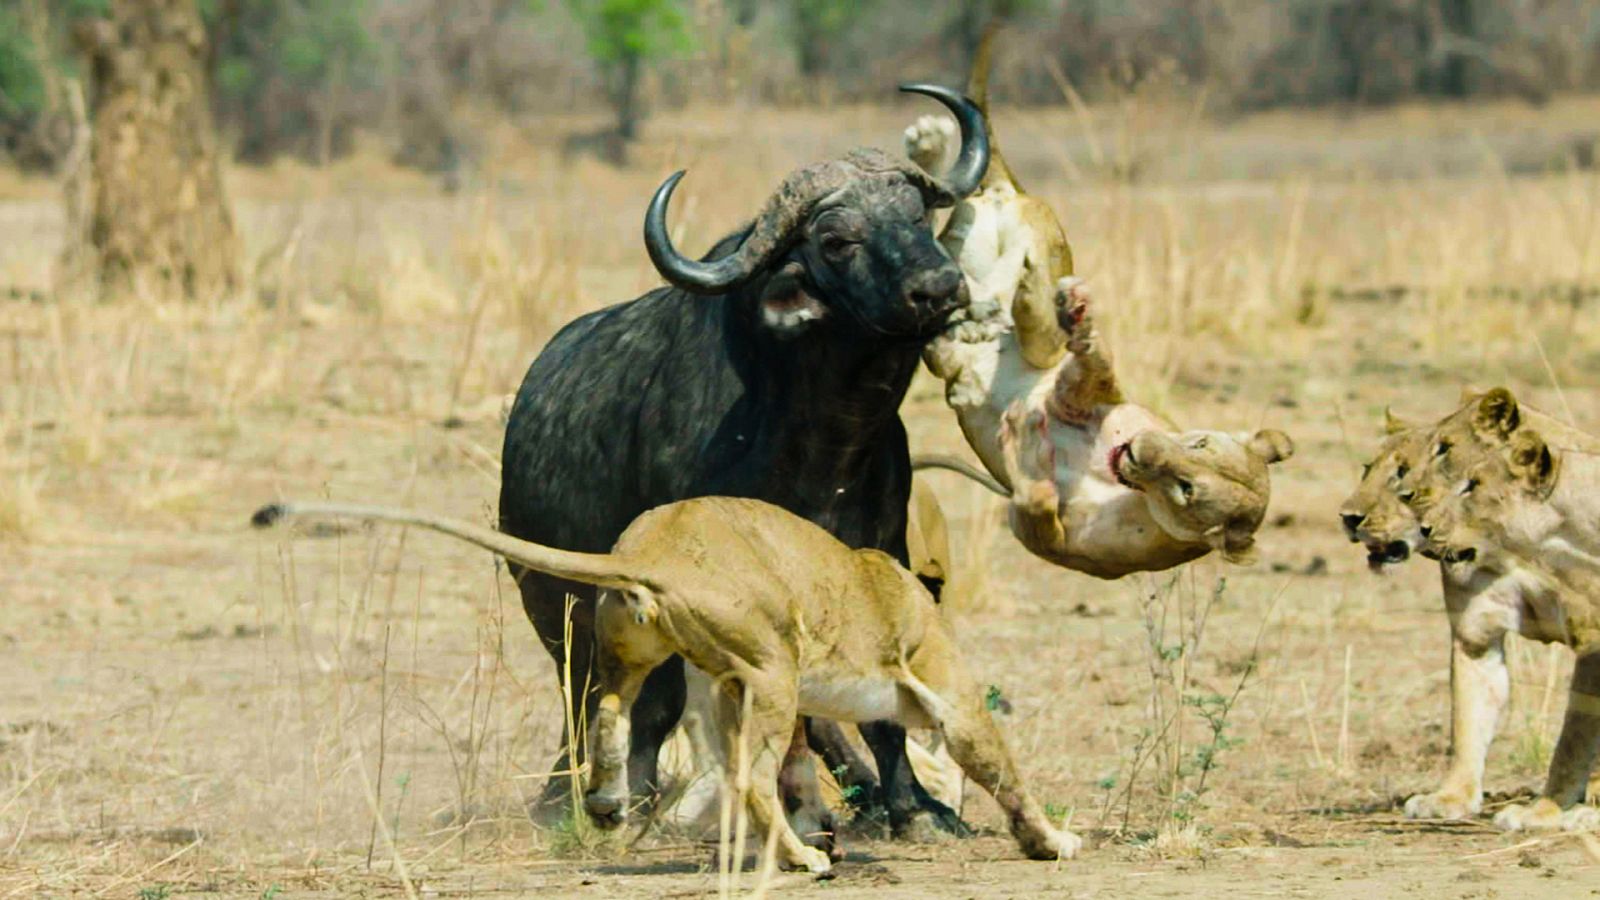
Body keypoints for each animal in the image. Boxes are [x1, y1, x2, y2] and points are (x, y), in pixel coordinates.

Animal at [502, 80, 985, 839]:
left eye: (917, 215)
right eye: (837, 239)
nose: (939, 287)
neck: (823, 437)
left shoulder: (878, 555)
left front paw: (914, 807)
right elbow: (662, 700)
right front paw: (642, 801)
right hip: (550, 599)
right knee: (584, 693)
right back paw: (572, 799)